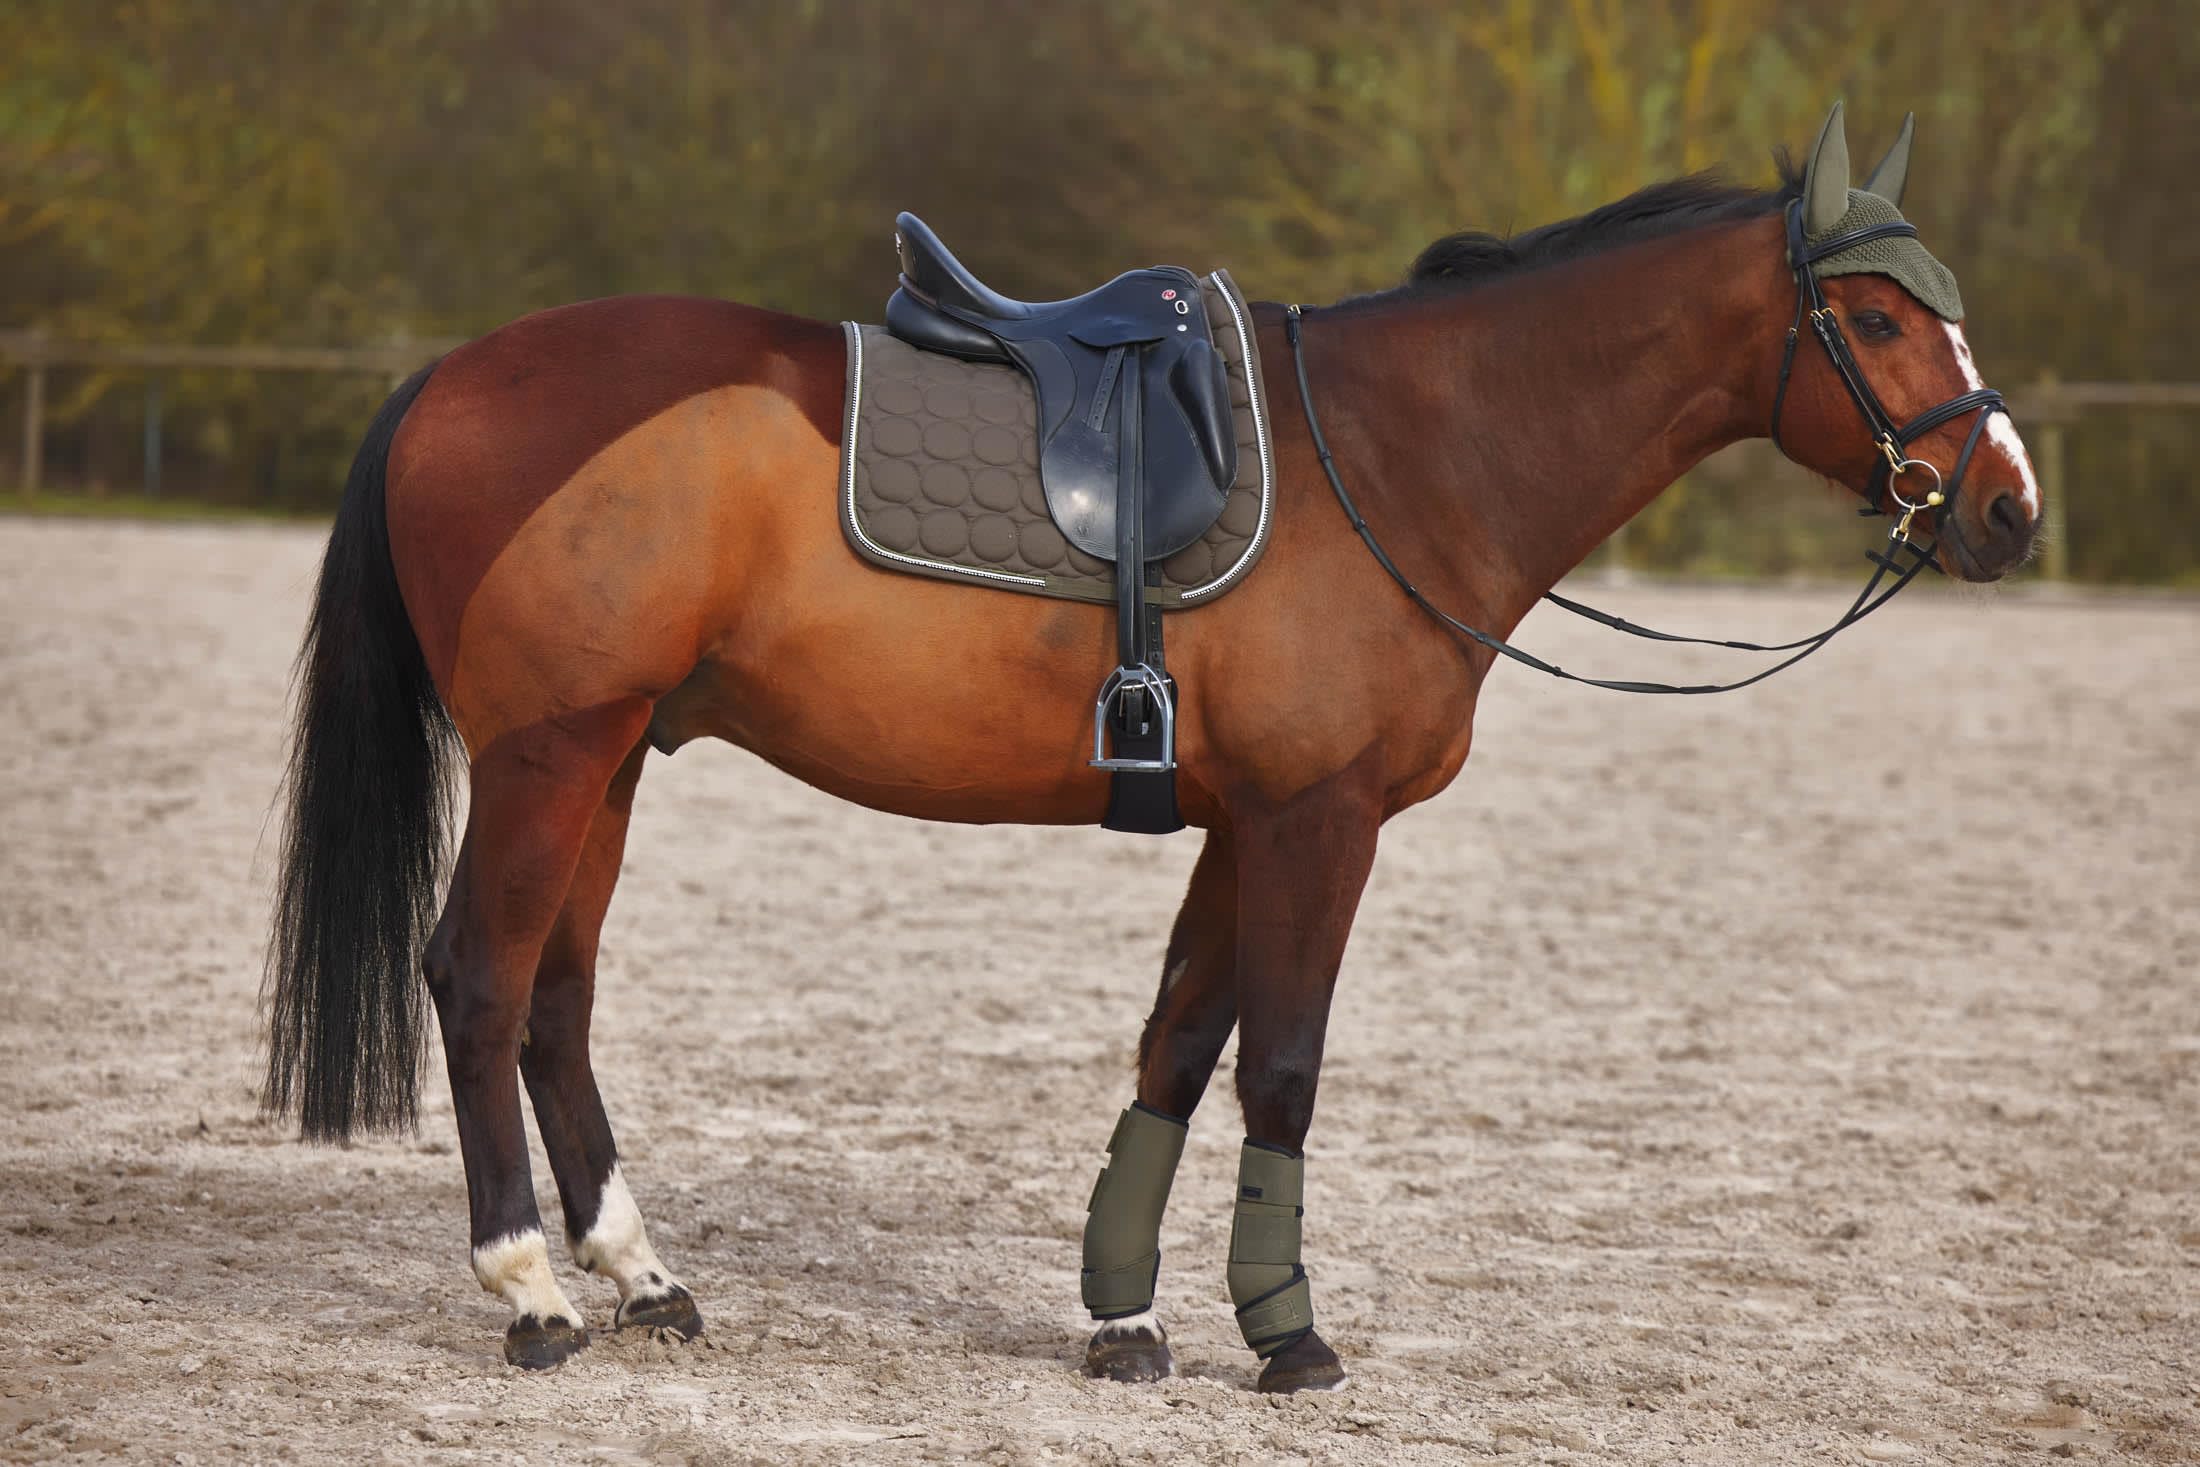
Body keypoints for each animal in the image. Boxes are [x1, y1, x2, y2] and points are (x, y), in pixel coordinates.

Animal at [262, 103, 2040, 1391]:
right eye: (1874, 314)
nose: (2012, 507)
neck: (1409, 456)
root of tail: (451, 373)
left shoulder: (1247, 819)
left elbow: (1180, 1044)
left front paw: (1125, 1316)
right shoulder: (1320, 817)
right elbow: (1286, 1059)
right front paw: (1292, 1333)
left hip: (615, 755)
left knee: (555, 999)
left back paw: (643, 1273)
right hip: (551, 754)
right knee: (481, 980)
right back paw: (532, 1293)